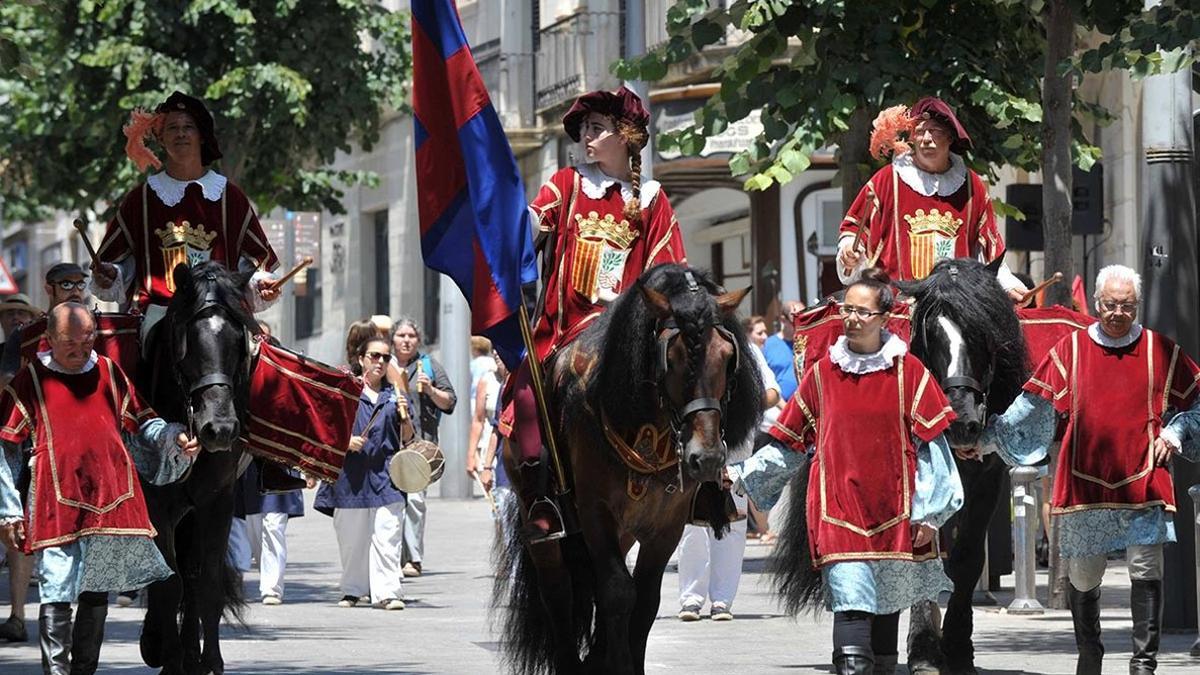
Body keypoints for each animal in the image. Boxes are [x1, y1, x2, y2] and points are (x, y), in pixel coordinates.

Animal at [139, 261, 259, 672]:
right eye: (188, 340)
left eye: (239, 340)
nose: (219, 429)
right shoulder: (157, 505)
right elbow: (167, 582)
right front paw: (171, 658)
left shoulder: (216, 501)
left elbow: (205, 582)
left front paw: (208, 660)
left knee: (191, 575)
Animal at [492, 264, 763, 672]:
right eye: (673, 357)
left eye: (728, 354)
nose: (707, 458)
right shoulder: (595, 511)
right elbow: (618, 592)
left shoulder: (666, 524)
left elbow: (645, 598)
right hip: (538, 514)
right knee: (558, 588)